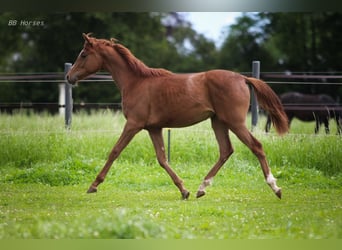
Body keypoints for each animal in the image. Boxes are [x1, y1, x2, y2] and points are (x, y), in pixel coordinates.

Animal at [67, 33, 288, 200]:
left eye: (84, 54)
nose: (69, 77)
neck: (136, 82)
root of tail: (242, 78)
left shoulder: (133, 124)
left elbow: (115, 151)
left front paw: (93, 185)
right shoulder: (153, 128)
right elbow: (162, 158)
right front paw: (184, 190)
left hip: (234, 122)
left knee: (256, 146)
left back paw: (275, 187)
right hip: (218, 122)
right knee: (226, 150)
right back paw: (201, 188)